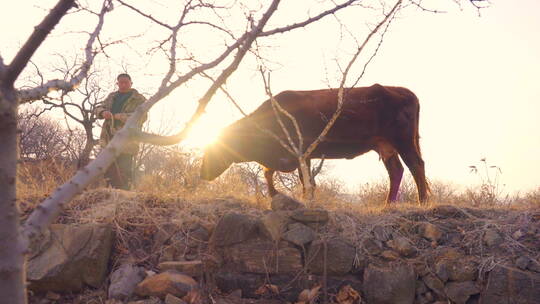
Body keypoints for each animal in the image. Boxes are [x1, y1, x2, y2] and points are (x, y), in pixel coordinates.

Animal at [200, 83, 428, 203]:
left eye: (211, 152)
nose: (202, 174)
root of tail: (402, 90)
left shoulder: (302, 152)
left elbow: (304, 180)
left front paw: (304, 199)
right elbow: (269, 172)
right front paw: (274, 194)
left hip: (403, 140)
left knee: (416, 165)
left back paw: (422, 201)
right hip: (385, 144)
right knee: (396, 170)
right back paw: (388, 204)